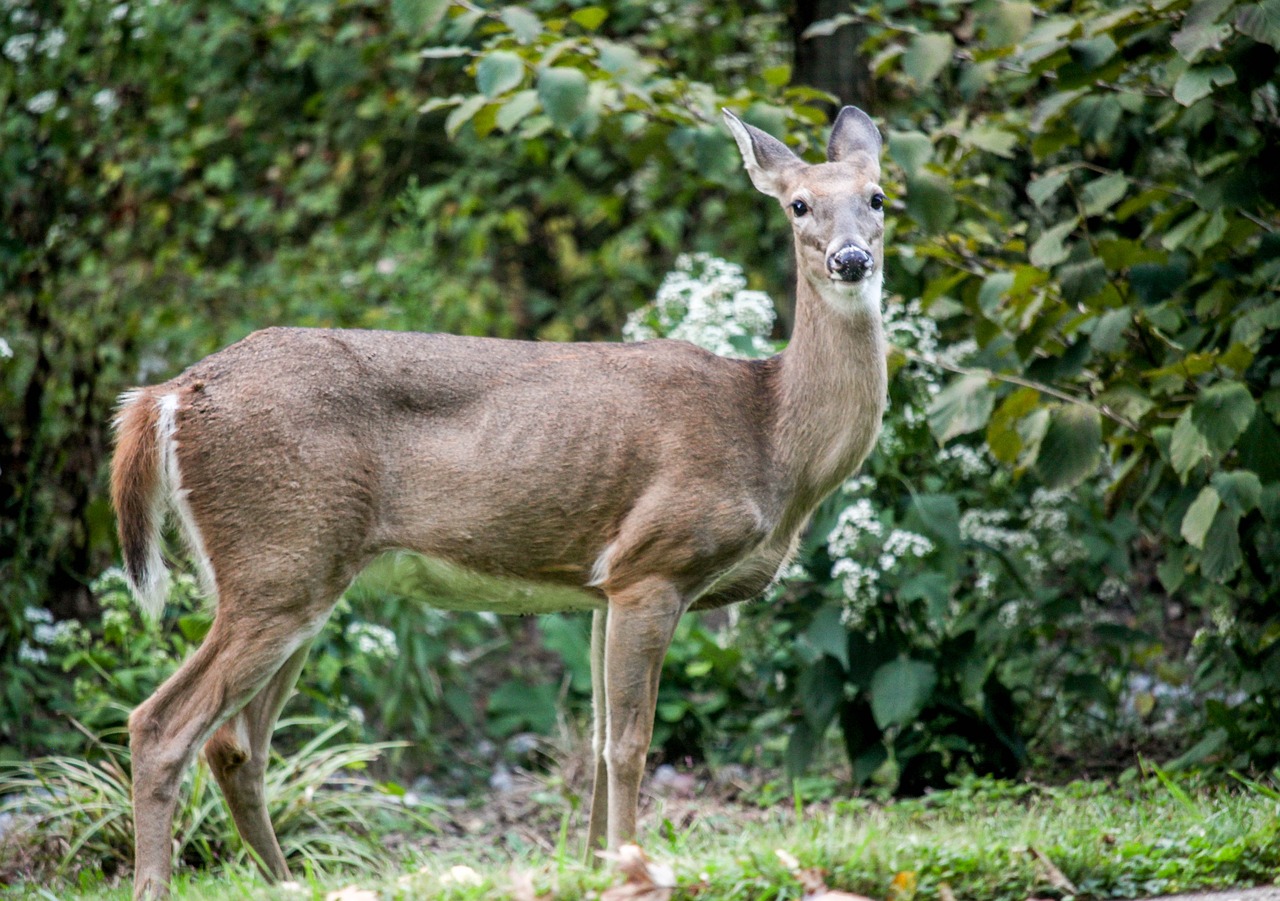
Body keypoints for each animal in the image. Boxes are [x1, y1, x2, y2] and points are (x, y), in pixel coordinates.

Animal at [110, 103, 885, 895]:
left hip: (292, 574)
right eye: (799, 205)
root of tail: (167, 395)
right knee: (161, 725)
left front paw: (592, 863)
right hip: (280, 557)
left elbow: (598, 737)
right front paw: (633, 865)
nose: (851, 259)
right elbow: (630, 741)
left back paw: (291, 880)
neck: (769, 430)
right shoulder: (654, 564)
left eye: (879, 198)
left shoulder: (603, 586)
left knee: (237, 745)